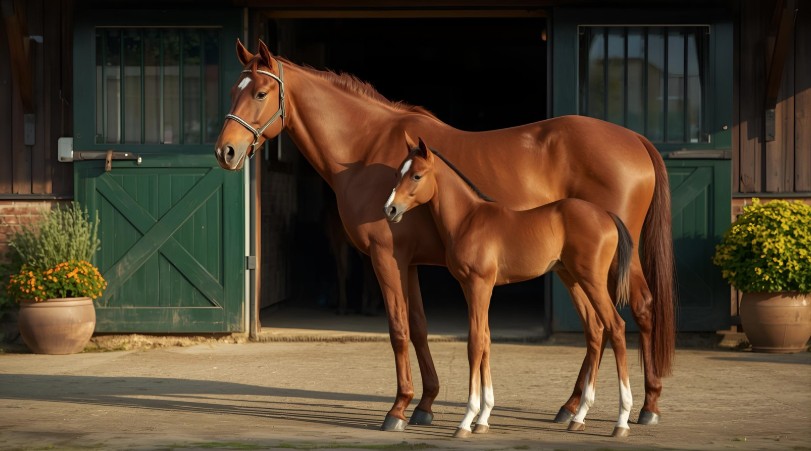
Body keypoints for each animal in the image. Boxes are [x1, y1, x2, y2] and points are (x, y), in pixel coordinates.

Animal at [385, 135, 635, 438]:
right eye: (397, 173)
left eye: (417, 175)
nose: (390, 209)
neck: (468, 220)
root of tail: (607, 215)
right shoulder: (470, 287)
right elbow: (486, 341)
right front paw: (483, 418)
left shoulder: (479, 285)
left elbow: (475, 343)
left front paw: (466, 420)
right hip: (572, 279)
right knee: (595, 331)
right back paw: (579, 417)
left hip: (592, 280)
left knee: (616, 327)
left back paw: (621, 420)